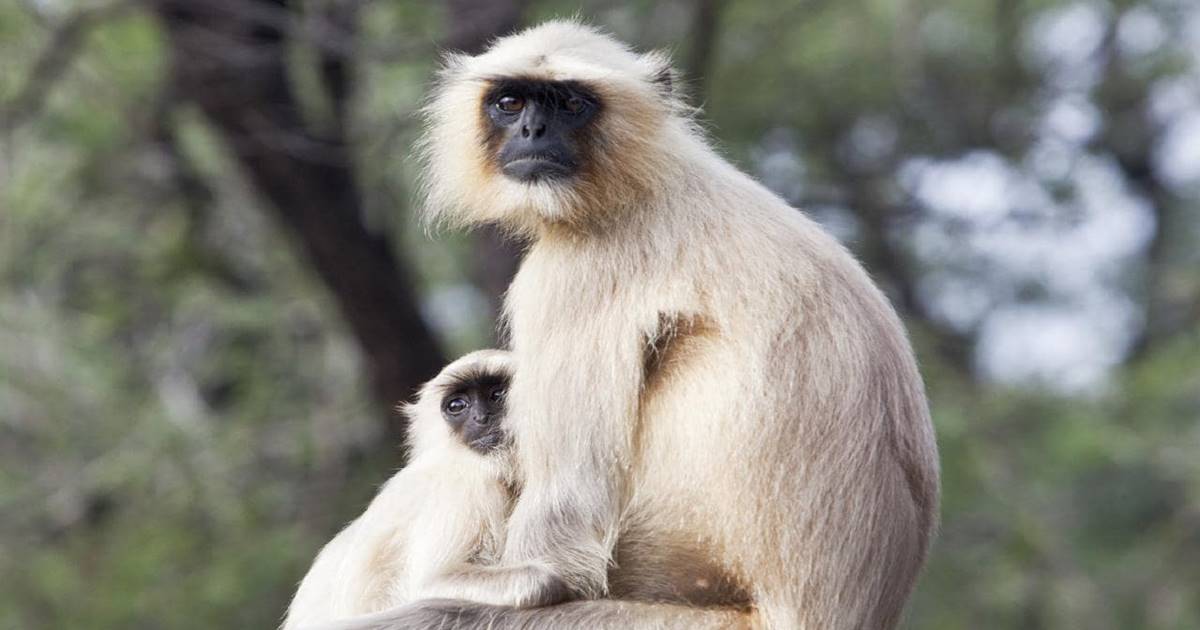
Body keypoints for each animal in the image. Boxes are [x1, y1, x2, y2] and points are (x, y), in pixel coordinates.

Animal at [336, 19, 936, 628]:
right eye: (510, 103)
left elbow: (559, 551)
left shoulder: (574, 275)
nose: (532, 129)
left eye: (571, 104)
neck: (649, 179)